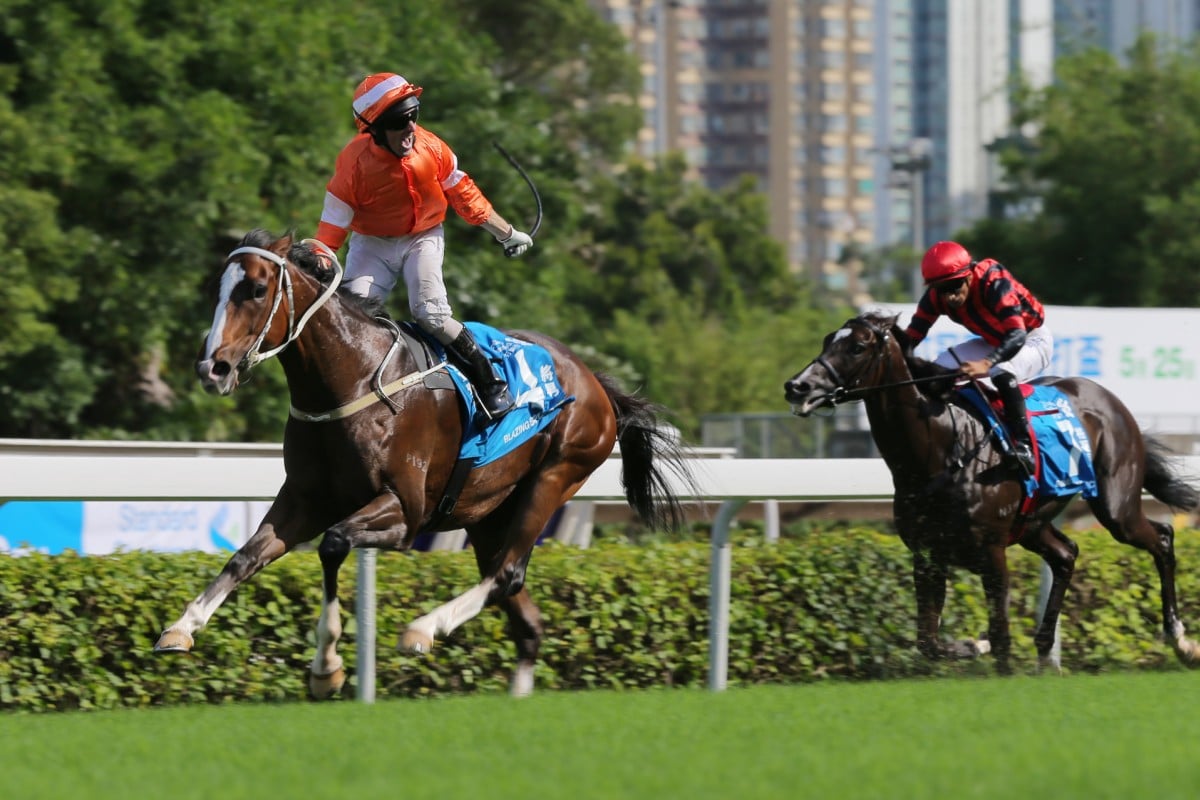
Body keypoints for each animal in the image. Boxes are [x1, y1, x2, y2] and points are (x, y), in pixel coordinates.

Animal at [152, 227, 696, 695]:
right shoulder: (305, 498)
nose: (212, 368)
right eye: (218, 291)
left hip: (556, 474)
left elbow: (333, 543)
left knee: (508, 574)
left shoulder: (405, 512)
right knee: (526, 620)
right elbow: (246, 556)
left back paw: (423, 628)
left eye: (258, 289)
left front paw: (327, 666)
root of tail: (596, 383)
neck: (352, 378)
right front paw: (181, 627)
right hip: (488, 513)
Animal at [782, 311, 1195, 676]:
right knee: (1066, 555)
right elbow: (927, 641)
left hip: (1115, 506)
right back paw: (1045, 653)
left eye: (857, 346)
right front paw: (971, 644)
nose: (796, 386)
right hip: (1032, 523)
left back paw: (1181, 640)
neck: (941, 451)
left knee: (1161, 537)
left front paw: (994, 659)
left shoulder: (991, 550)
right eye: (827, 340)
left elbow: (999, 634)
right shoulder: (928, 554)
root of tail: (1109, 399)